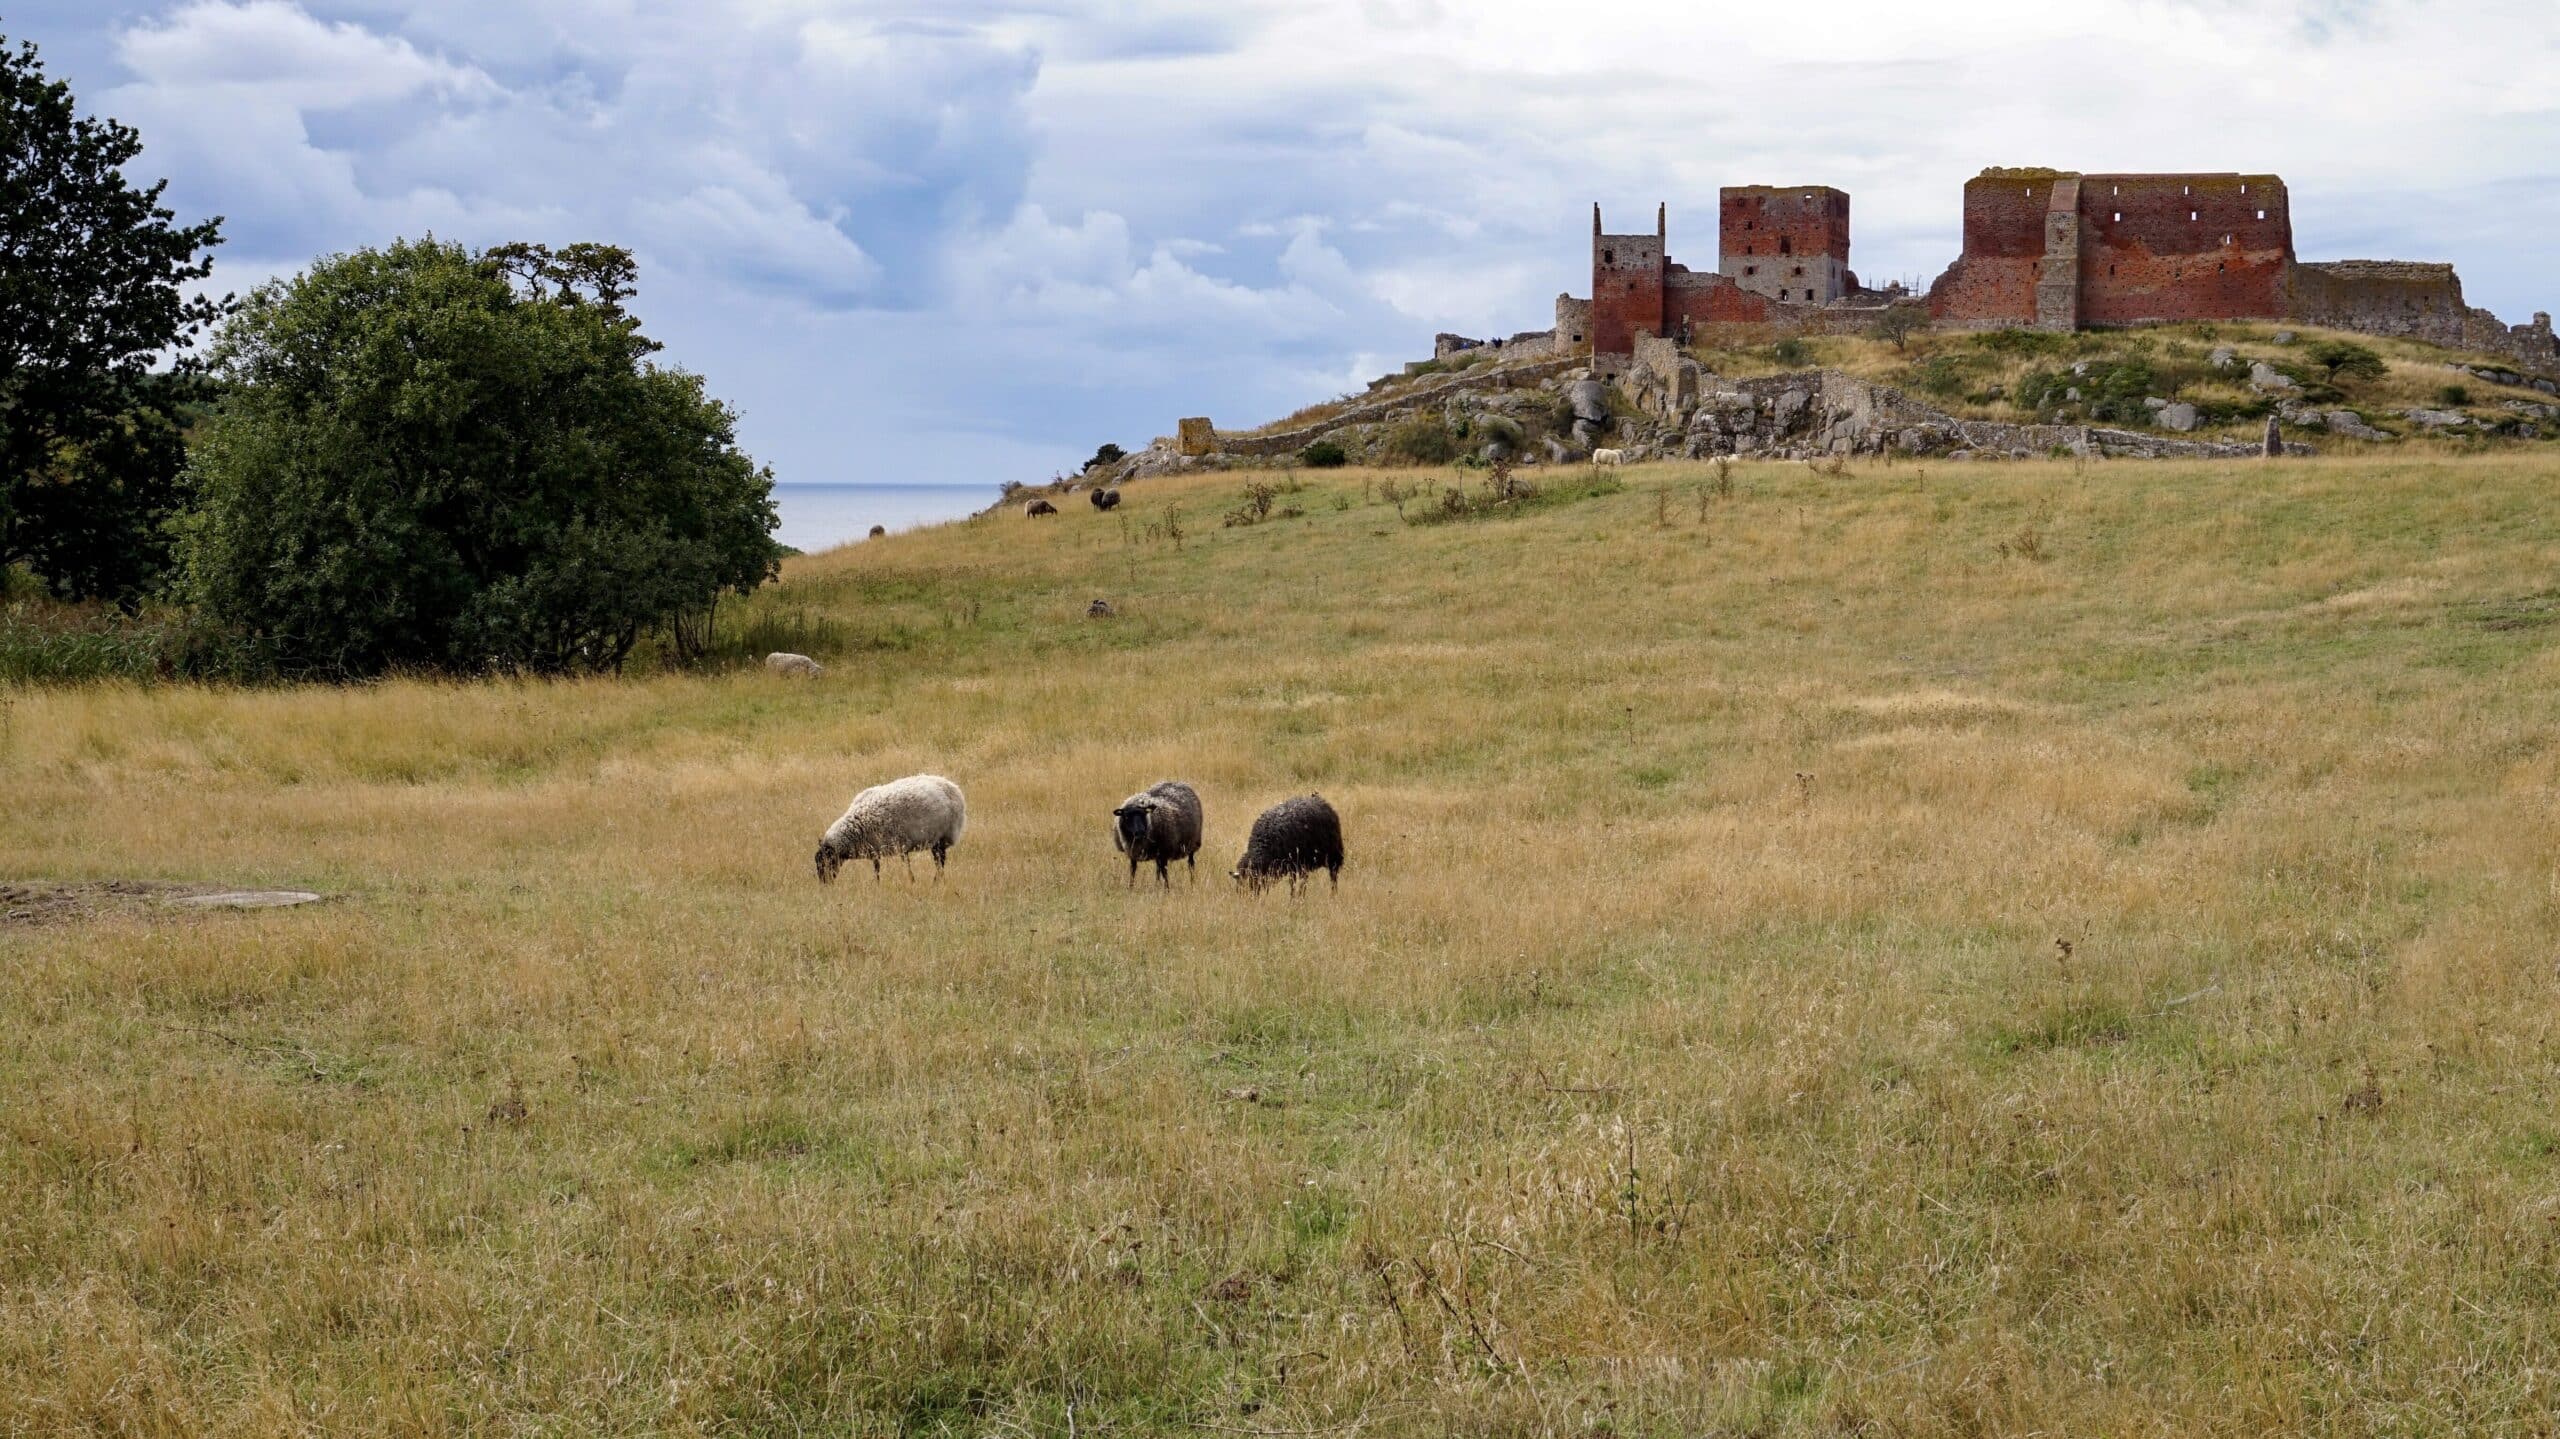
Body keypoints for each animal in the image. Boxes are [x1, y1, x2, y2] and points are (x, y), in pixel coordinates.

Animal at [815, 774, 966, 883]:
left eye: (827, 862)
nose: (825, 884)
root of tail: (952, 786)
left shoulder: (898, 845)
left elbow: (899, 867)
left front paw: (910, 881)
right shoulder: (876, 850)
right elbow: (878, 869)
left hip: (942, 838)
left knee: (940, 863)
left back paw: (936, 882)